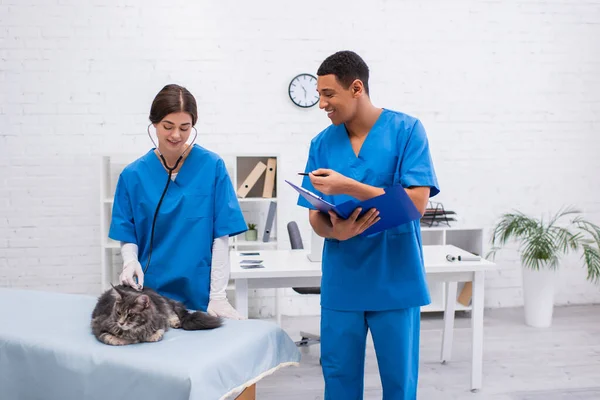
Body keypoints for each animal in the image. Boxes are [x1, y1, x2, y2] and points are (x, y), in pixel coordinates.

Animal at [92, 284, 224, 344]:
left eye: (130, 315)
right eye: (118, 313)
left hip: (162, 304)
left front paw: (151, 336)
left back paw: (175, 322)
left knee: (171, 311)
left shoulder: (160, 320)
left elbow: (158, 332)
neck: (135, 330)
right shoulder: (98, 324)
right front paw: (122, 339)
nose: (121, 323)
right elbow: (109, 337)